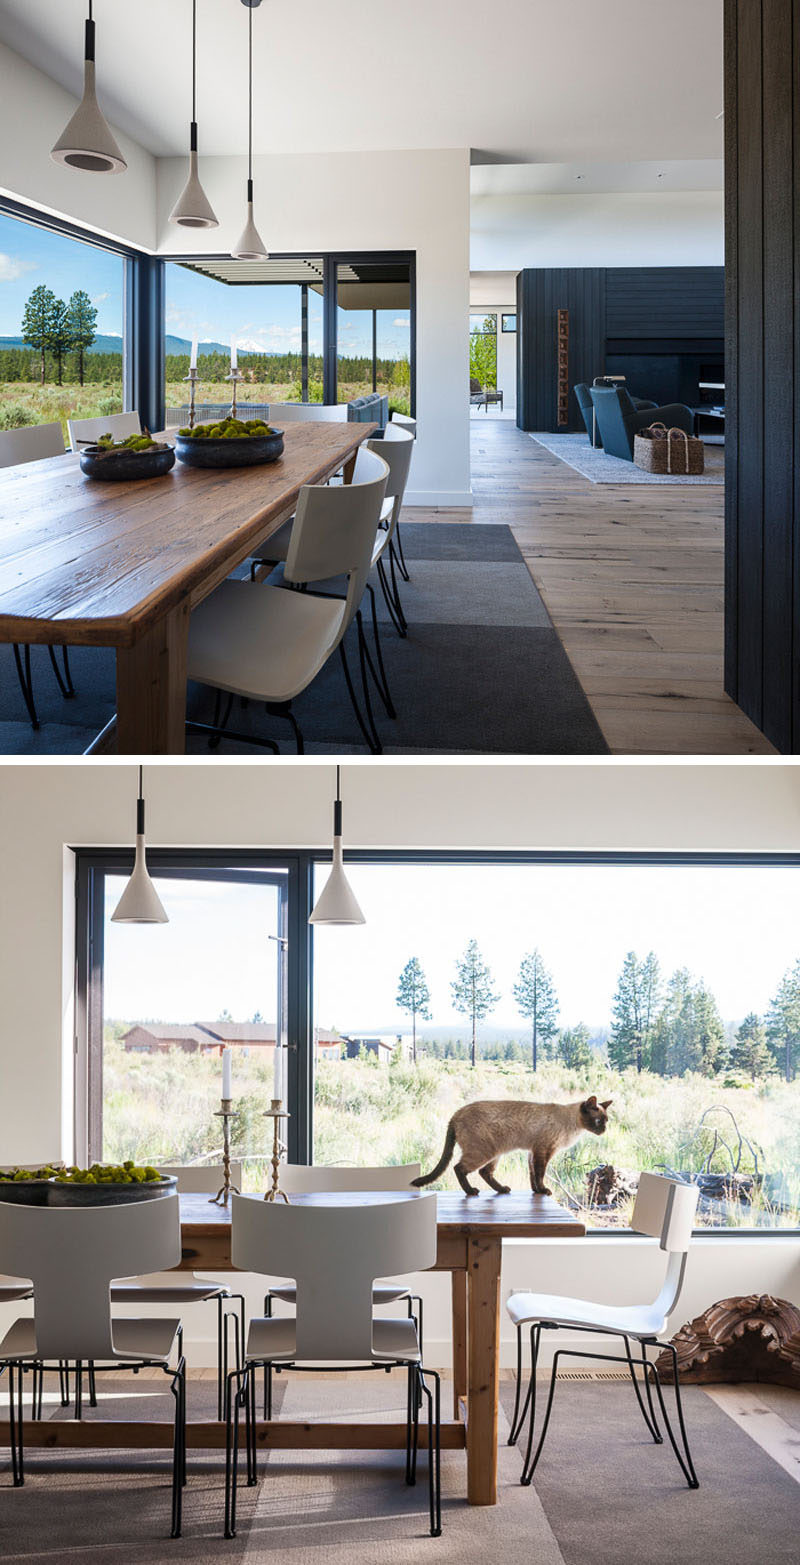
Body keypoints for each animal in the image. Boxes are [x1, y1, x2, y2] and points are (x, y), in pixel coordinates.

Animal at [413, 1101, 613, 1195]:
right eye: (598, 1121)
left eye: (606, 1121)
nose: (604, 1130)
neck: (573, 1126)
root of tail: (455, 1115)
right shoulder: (543, 1151)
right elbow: (540, 1174)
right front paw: (544, 1190)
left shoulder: (533, 1152)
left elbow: (533, 1175)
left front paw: (537, 1191)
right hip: (484, 1152)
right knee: (459, 1168)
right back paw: (471, 1192)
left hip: (495, 1153)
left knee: (485, 1172)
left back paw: (502, 1189)